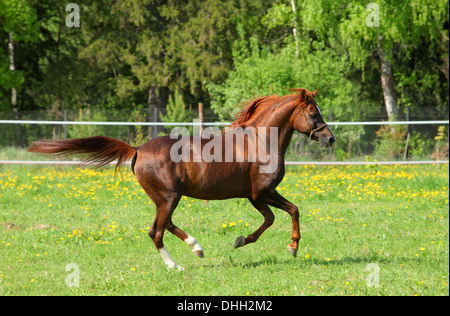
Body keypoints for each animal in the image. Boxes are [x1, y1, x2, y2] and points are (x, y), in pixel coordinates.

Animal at [29, 87, 334, 270]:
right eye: (312, 112)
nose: (330, 139)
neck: (260, 141)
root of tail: (137, 150)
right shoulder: (261, 193)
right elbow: (290, 211)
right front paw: (291, 247)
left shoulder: (254, 196)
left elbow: (274, 218)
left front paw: (242, 241)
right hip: (169, 196)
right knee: (157, 231)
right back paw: (179, 262)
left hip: (164, 198)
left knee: (164, 226)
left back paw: (194, 250)